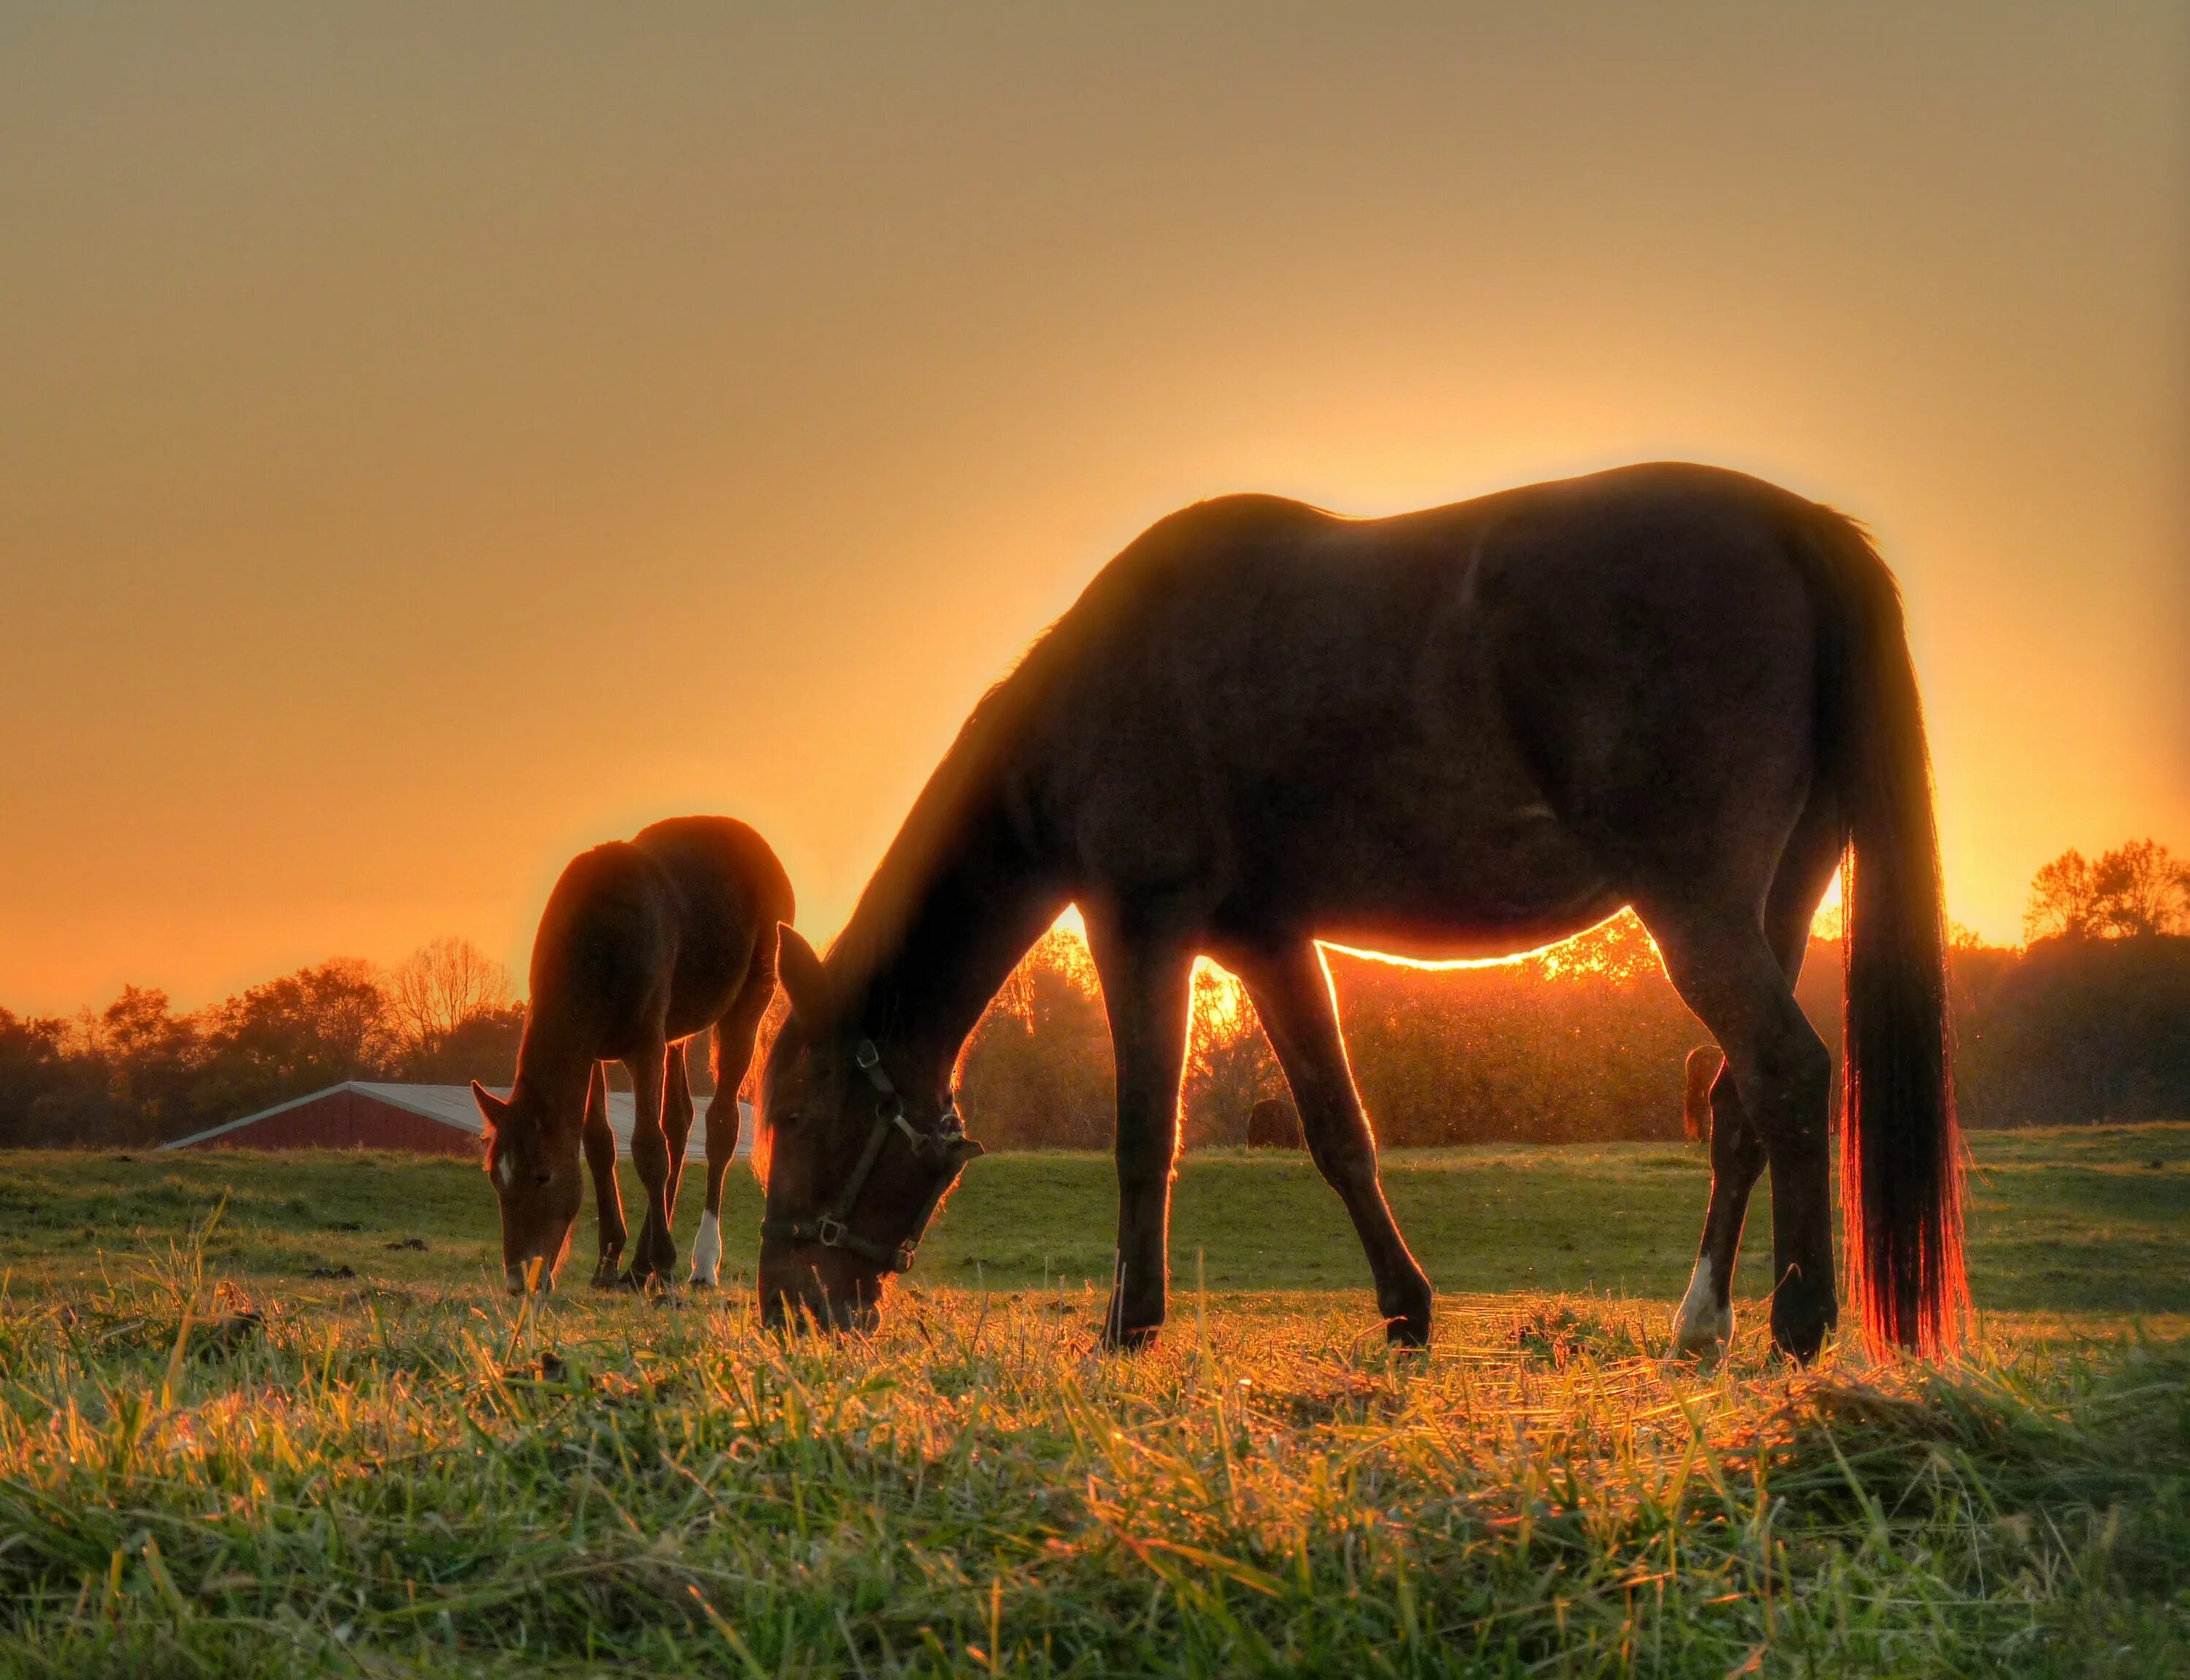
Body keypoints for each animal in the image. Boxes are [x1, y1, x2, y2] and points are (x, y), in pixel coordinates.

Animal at [471, 823, 797, 1296]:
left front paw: (666, 1266)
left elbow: (647, 1149)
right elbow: (600, 1144)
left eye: (542, 1176)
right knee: (679, 1122)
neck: (598, 941)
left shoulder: (644, 1048)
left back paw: (699, 1264)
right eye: (496, 1178)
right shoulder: (593, 1056)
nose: (519, 1280)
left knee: (720, 1125)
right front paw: (610, 1261)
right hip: (676, 1036)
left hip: (747, 1006)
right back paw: (639, 1268)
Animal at [753, 466, 1971, 1357]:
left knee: (1786, 1073)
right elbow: (1339, 1131)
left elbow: (1146, 1133)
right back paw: (1702, 1318)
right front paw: (1405, 1308)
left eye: (799, 1114)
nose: (787, 1308)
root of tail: (1795, 528)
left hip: (1697, 905)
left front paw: (1129, 1322)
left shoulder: (1141, 921)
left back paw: (1798, 1323)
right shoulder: (1268, 941)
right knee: (1736, 1103)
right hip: (1780, 897)